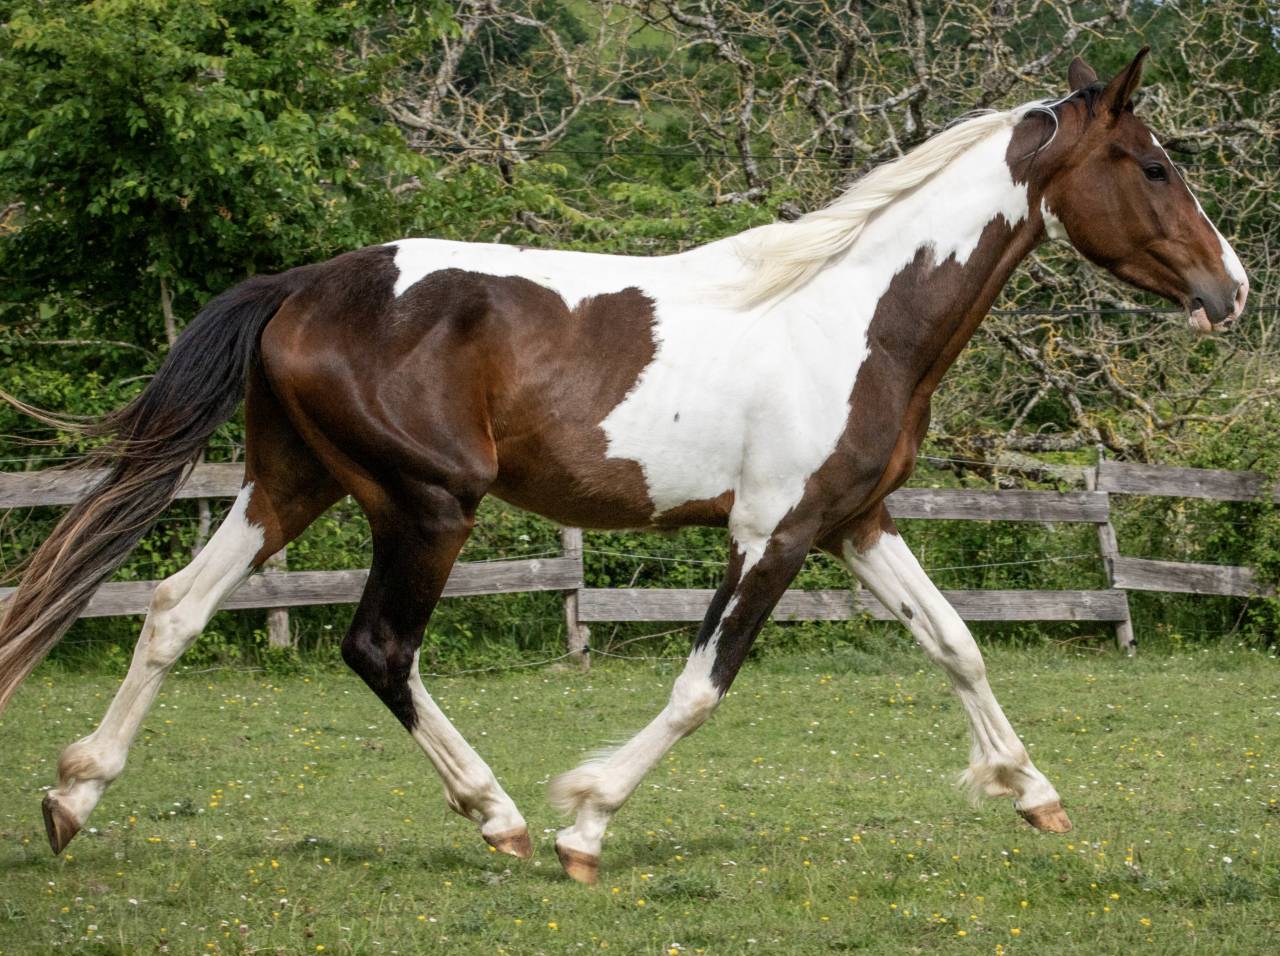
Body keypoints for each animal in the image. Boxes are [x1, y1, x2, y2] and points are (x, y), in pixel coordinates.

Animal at [0, 48, 1248, 884]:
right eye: (1150, 164)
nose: (1229, 288)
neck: (854, 318)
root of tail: (303, 283)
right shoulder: (771, 533)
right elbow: (701, 684)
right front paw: (583, 821)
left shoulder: (855, 522)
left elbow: (955, 643)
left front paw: (1032, 793)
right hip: (426, 504)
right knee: (378, 647)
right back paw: (498, 813)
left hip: (288, 485)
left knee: (173, 607)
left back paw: (72, 795)